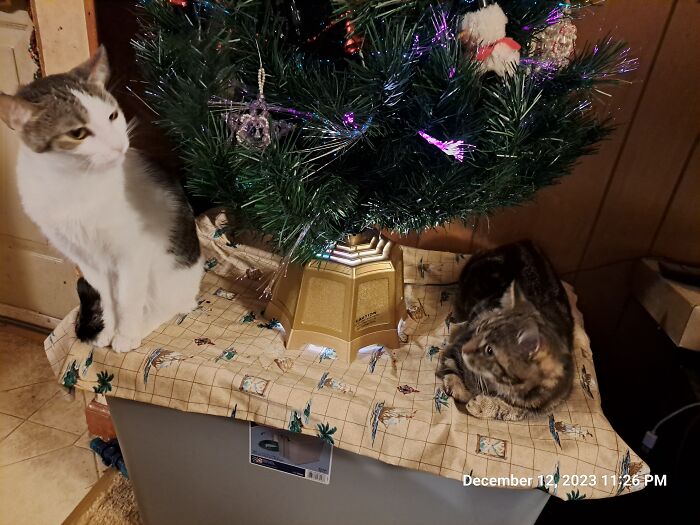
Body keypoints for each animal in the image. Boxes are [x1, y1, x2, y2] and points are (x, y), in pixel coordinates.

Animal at [0, 48, 204, 352]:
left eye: (112, 115)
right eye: (78, 133)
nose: (120, 145)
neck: (74, 185)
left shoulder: (132, 252)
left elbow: (128, 300)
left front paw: (125, 335)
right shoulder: (85, 259)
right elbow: (108, 298)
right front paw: (107, 330)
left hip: (166, 269)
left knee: (169, 303)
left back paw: (143, 324)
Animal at [438, 239, 576, 420]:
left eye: (489, 350)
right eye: (477, 330)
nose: (466, 347)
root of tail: (522, 242)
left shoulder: (541, 405)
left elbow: (512, 411)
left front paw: (482, 405)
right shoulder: (462, 339)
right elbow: (452, 361)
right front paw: (458, 387)